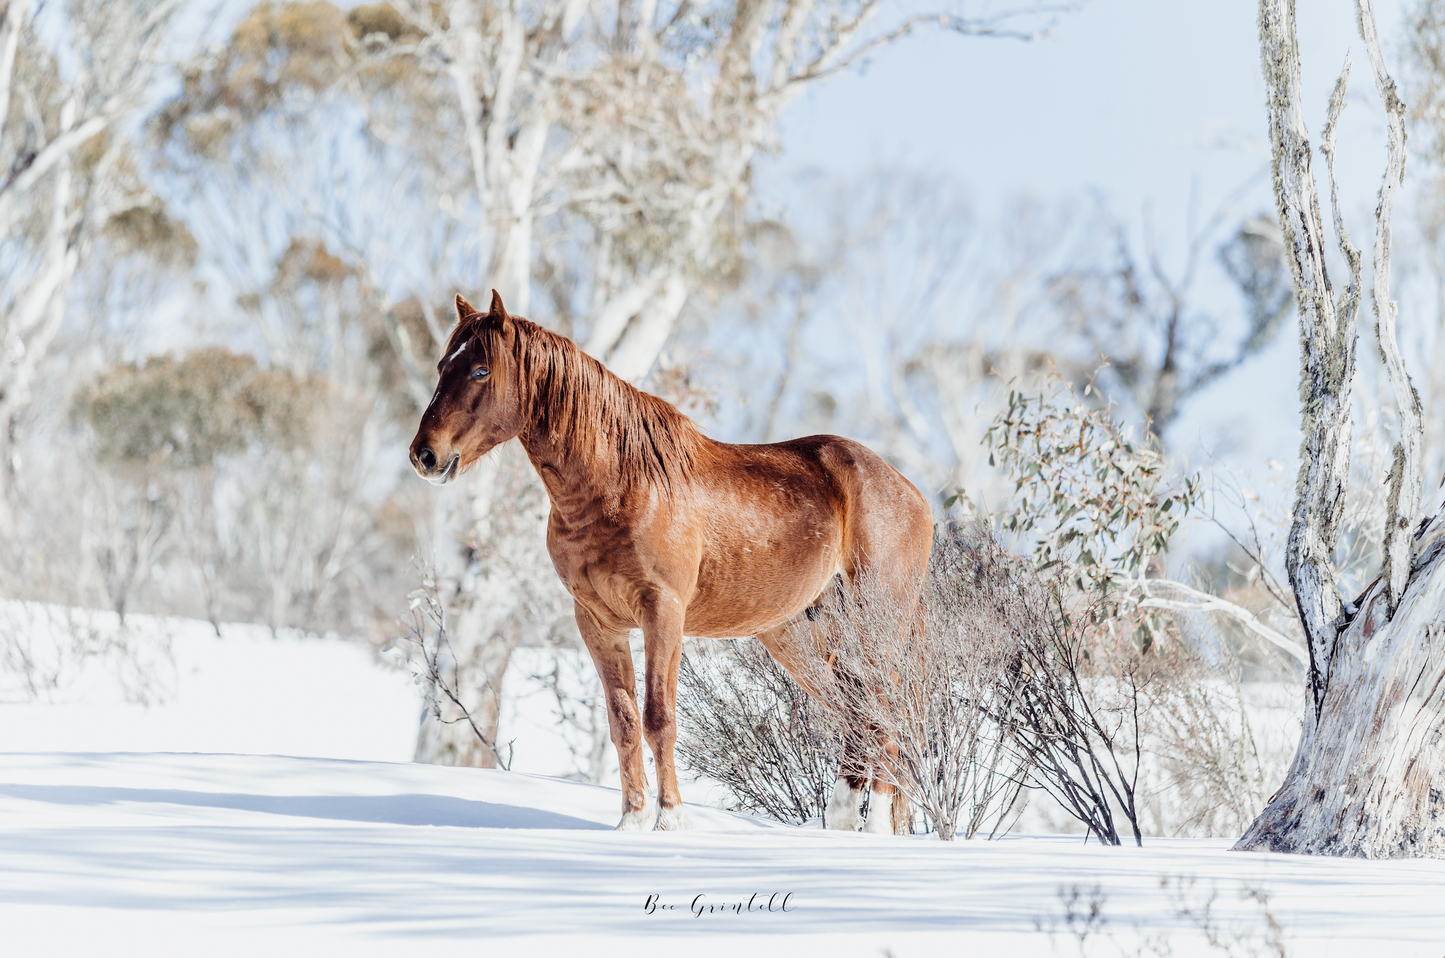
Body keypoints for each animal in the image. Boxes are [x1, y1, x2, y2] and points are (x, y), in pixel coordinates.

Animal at [409, 291, 933, 833]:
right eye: (442, 366)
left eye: (481, 370)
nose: (425, 455)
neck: (618, 484)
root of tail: (910, 492)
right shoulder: (597, 622)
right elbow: (623, 722)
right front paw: (632, 822)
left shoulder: (662, 611)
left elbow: (658, 718)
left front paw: (670, 821)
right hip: (804, 633)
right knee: (856, 713)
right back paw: (844, 821)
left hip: (877, 626)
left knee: (886, 712)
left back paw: (876, 827)